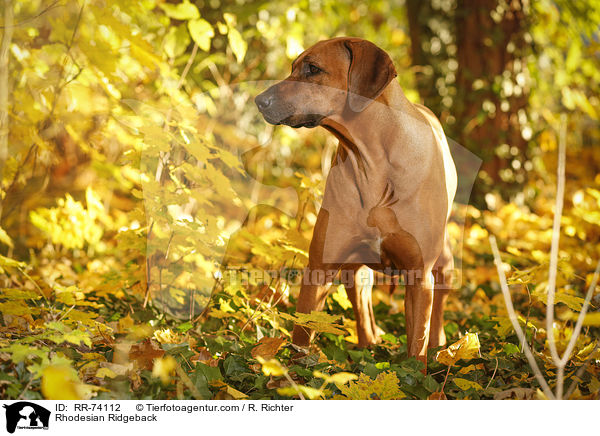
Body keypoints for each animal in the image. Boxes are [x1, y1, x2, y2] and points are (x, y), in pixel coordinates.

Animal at [255, 37, 458, 366]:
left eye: (313, 69)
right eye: (293, 67)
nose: (259, 100)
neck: (373, 164)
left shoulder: (419, 275)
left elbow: (417, 346)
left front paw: (419, 374)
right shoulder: (319, 266)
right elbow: (302, 333)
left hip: (445, 262)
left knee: (437, 306)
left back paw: (440, 346)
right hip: (355, 270)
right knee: (363, 308)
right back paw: (369, 344)